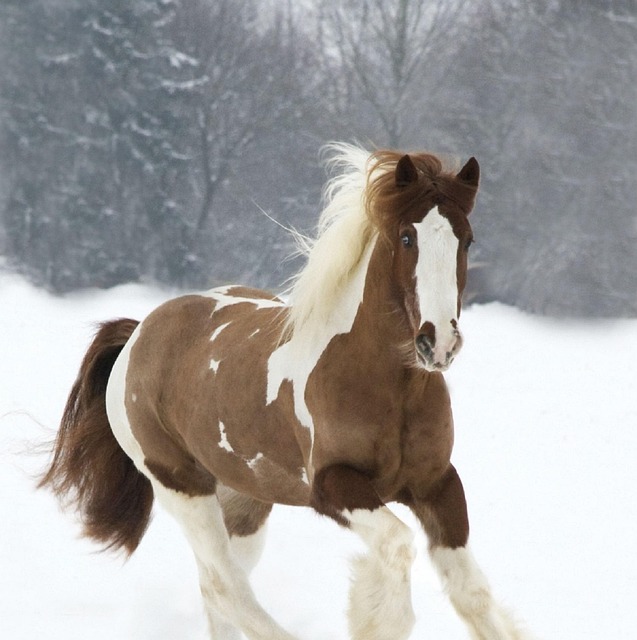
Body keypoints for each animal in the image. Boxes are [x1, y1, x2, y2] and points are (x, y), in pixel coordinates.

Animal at [40, 143, 532, 640]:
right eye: (408, 237)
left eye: (466, 240)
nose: (438, 343)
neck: (388, 386)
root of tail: (140, 332)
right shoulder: (332, 486)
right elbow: (396, 548)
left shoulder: (437, 484)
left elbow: (472, 594)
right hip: (181, 485)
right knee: (225, 586)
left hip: (246, 500)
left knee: (219, 587)